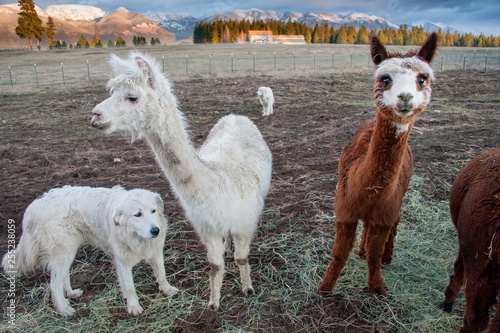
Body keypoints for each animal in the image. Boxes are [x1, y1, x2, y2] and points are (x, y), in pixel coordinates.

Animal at [0, 185, 178, 316]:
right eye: (137, 214)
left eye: (153, 211)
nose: (155, 230)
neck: (137, 238)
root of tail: (35, 205)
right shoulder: (122, 263)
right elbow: (130, 288)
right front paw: (133, 307)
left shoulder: (156, 254)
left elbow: (162, 274)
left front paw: (167, 290)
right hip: (63, 252)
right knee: (54, 284)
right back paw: (64, 309)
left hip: (69, 251)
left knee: (63, 276)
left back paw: (71, 294)